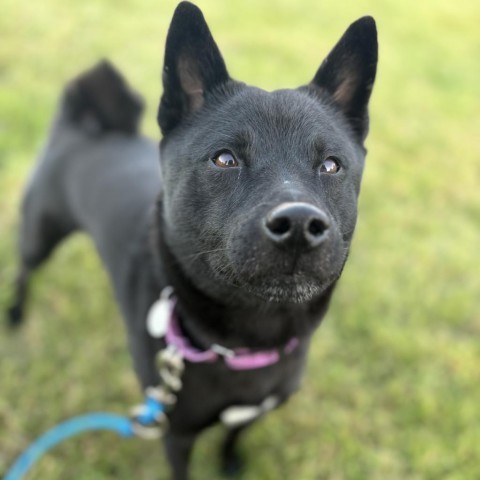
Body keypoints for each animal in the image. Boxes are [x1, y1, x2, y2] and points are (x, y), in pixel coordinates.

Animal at [5, 1, 376, 478]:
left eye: (331, 165)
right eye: (225, 159)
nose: (298, 223)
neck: (249, 341)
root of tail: (82, 125)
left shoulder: (251, 411)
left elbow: (236, 432)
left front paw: (231, 462)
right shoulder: (175, 434)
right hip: (40, 234)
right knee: (23, 271)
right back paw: (15, 314)